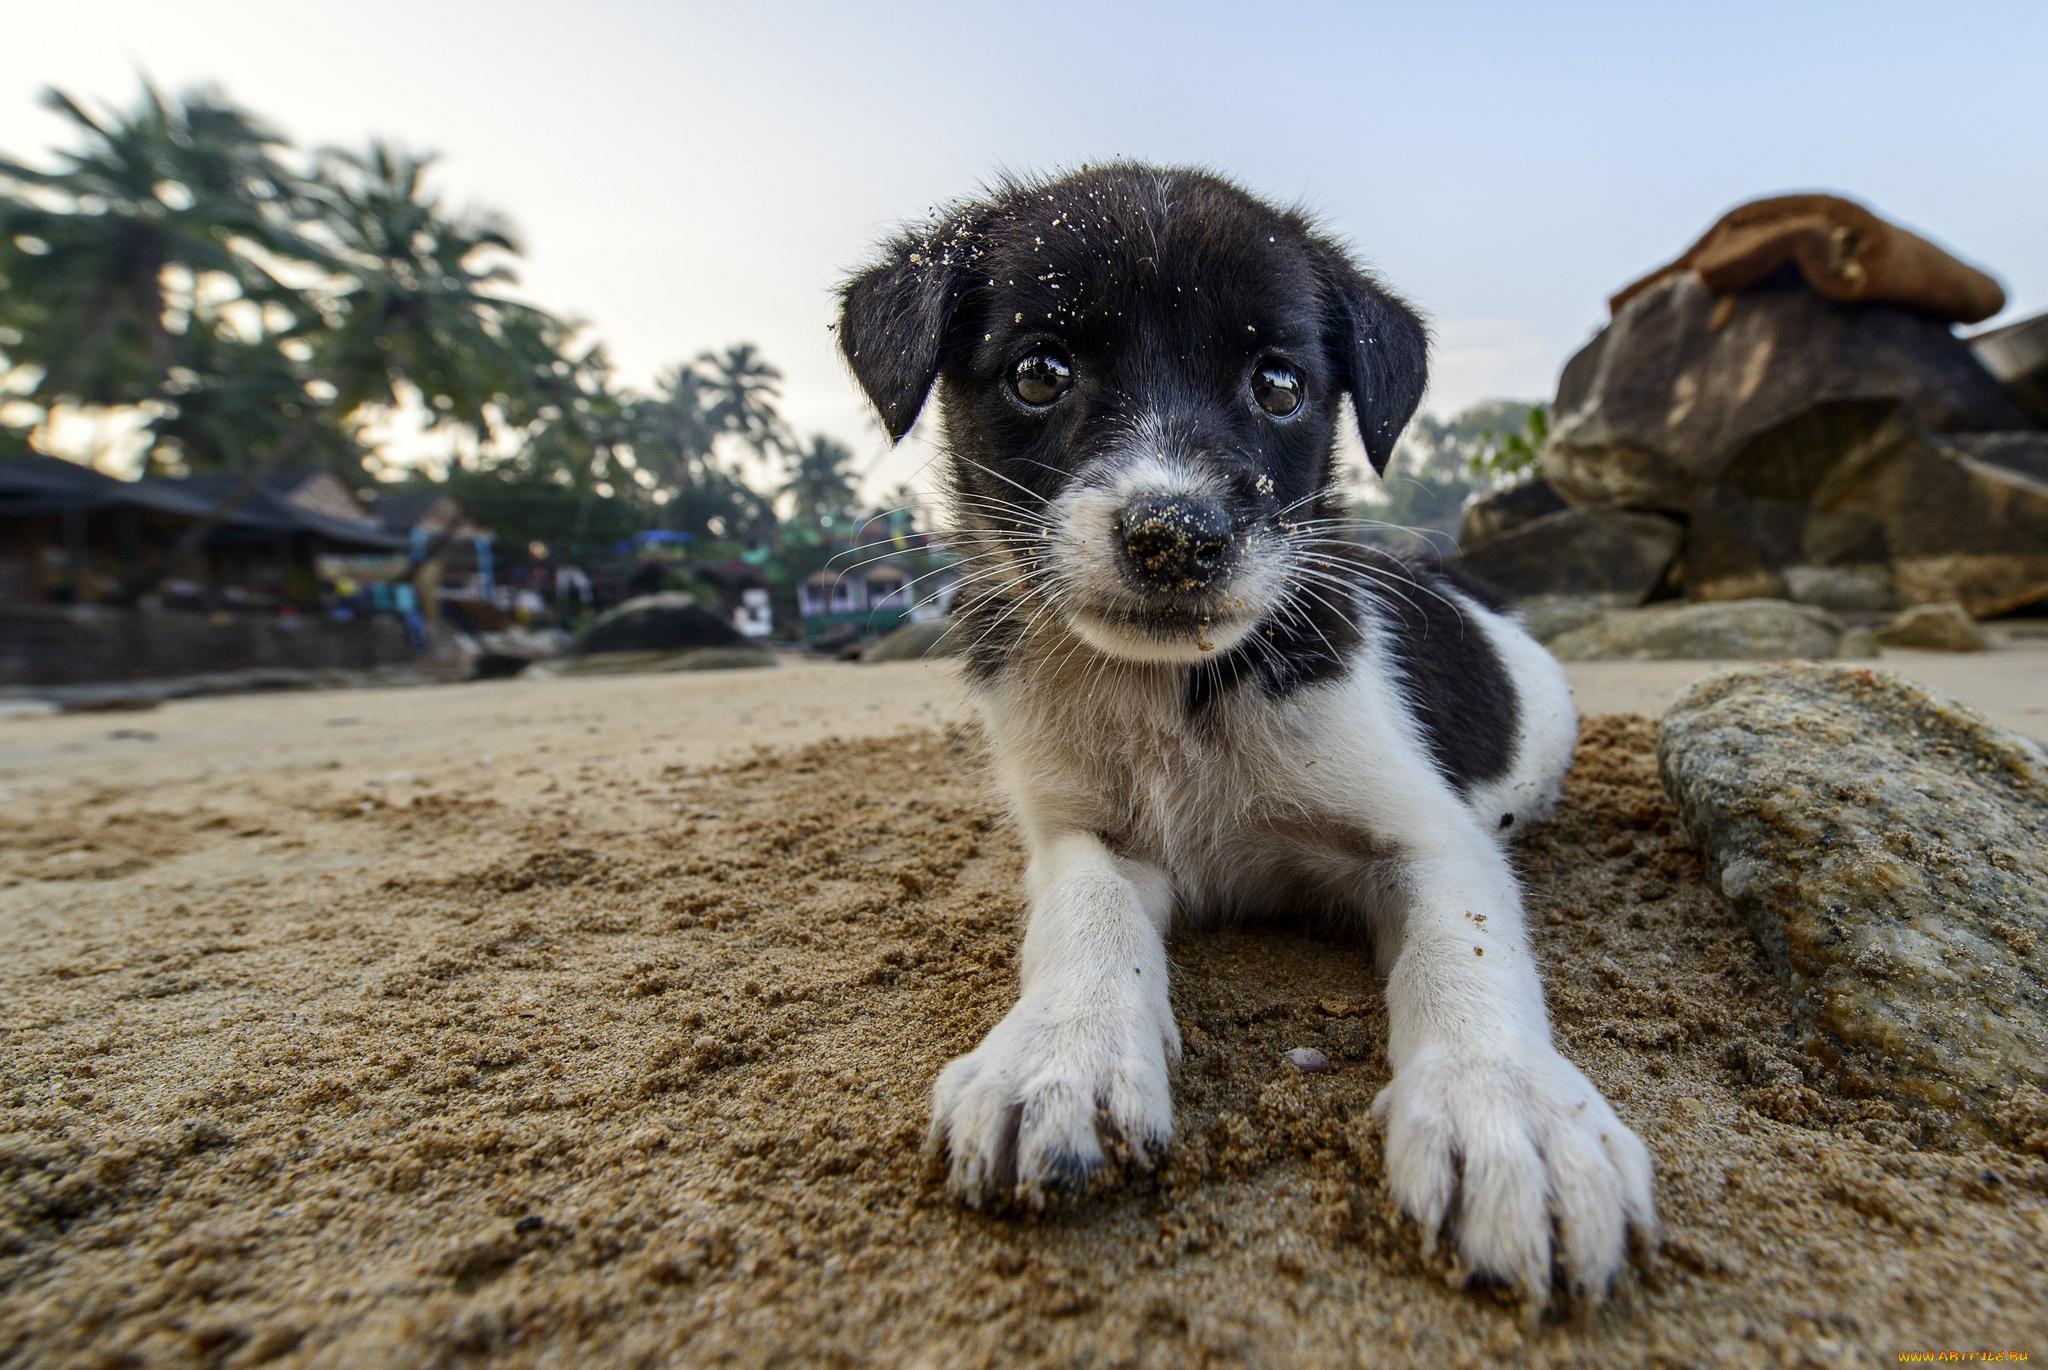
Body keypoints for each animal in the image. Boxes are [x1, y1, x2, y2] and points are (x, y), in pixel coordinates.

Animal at [839, 162, 1654, 1302]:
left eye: (1277, 385)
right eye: (1039, 372)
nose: (1176, 537)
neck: (1174, 691)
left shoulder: (1429, 839)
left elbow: (1466, 953)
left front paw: (1509, 1113)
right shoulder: (1083, 833)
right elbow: (1084, 917)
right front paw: (1057, 1055)